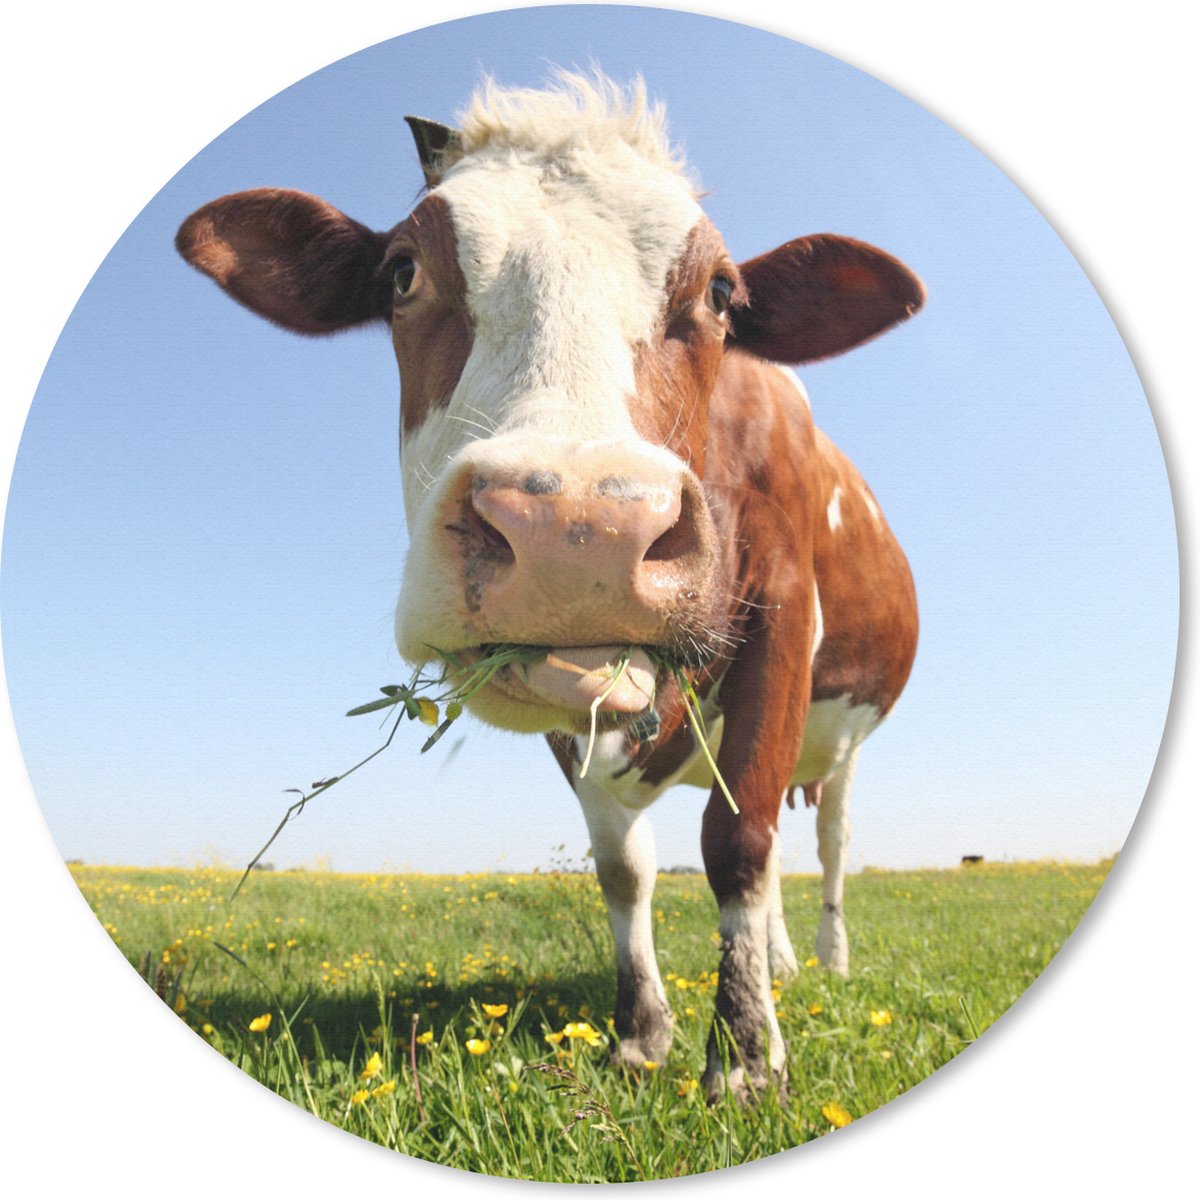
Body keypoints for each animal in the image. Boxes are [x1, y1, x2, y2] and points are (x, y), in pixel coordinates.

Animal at [176, 73, 922, 1101]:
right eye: (401, 272)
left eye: (721, 293)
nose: (579, 529)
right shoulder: (570, 696)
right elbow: (624, 867)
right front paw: (644, 1034)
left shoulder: (780, 619)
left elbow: (738, 845)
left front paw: (743, 1056)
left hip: (843, 742)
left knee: (823, 843)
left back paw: (823, 963)